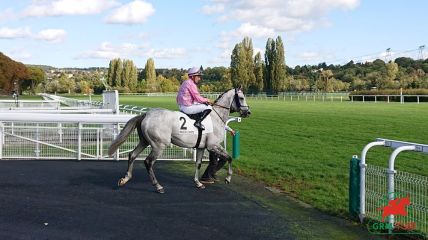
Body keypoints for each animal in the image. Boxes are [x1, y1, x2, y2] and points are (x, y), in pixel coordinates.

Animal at [108, 87, 251, 193]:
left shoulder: (201, 147)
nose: (247, 113)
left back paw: (125, 179)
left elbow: (198, 164)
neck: (216, 117)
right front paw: (228, 178)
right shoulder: (213, 146)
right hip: (159, 145)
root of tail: (146, 114)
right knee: (148, 162)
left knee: (132, 155)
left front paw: (198, 183)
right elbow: (229, 157)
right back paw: (158, 186)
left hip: (144, 141)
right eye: (242, 98)